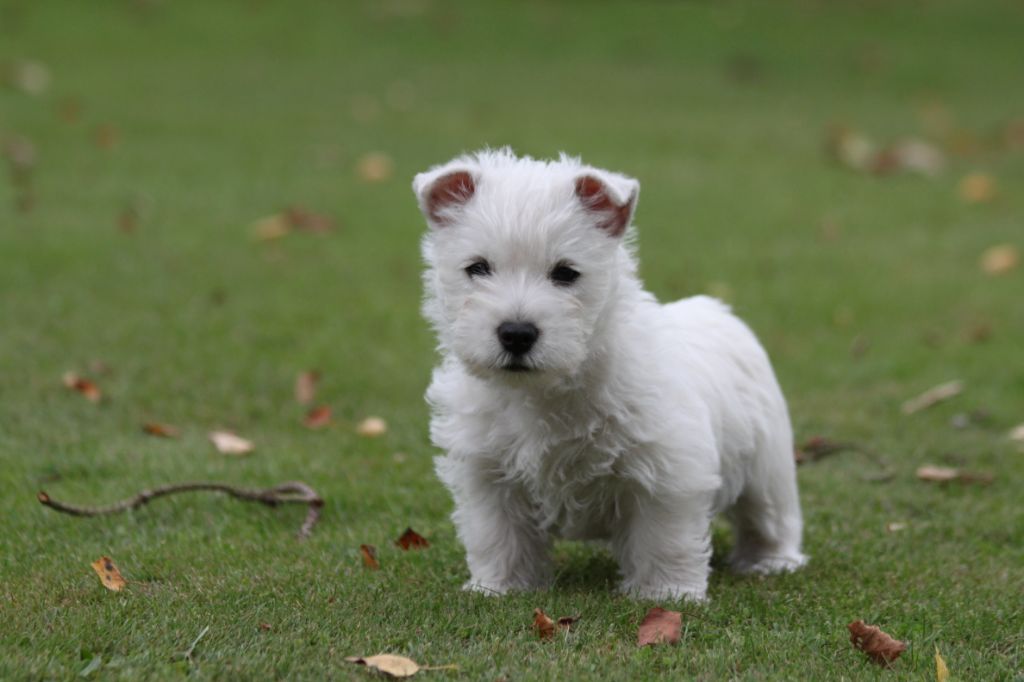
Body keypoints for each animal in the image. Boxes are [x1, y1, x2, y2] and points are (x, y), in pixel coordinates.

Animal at [413, 148, 806, 602]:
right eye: (477, 268)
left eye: (566, 272)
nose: (516, 333)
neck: (550, 388)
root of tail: (716, 309)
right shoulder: (488, 473)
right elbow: (499, 535)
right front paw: (499, 587)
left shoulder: (668, 472)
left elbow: (664, 538)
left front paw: (667, 594)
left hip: (767, 465)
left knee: (771, 517)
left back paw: (771, 562)